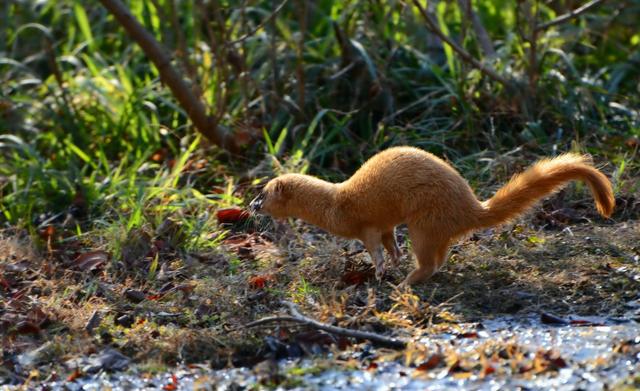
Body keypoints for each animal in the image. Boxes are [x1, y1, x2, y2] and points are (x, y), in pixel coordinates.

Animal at [250, 146, 616, 284]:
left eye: (262, 194)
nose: (251, 206)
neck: (335, 202)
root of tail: (471, 206)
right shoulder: (385, 223)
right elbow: (389, 239)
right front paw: (395, 259)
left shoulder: (366, 225)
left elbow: (373, 245)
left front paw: (380, 270)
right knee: (440, 257)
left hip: (424, 222)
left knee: (429, 261)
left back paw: (406, 282)